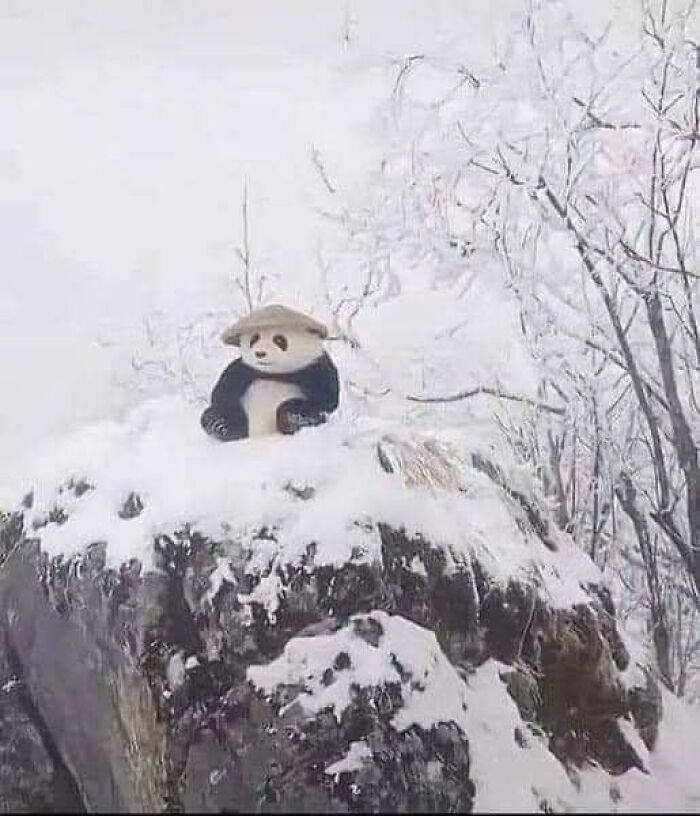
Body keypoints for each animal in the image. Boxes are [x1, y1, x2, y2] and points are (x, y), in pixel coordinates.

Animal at [200, 304, 340, 441]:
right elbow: (223, 393)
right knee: (211, 415)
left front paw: (292, 418)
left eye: (279, 339)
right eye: (254, 338)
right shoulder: (244, 370)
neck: (276, 373)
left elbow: (324, 400)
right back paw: (221, 425)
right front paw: (220, 424)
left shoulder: (315, 369)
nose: (260, 353)